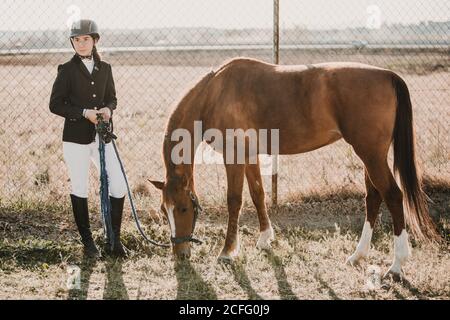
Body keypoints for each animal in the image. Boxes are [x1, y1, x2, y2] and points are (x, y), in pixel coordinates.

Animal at [149, 57, 438, 278]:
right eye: (164, 210)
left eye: (184, 208)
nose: (180, 254)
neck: (215, 93)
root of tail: (388, 75)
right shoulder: (250, 155)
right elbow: (258, 194)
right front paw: (265, 238)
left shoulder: (235, 157)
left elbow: (234, 201)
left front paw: (227, 252)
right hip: (371, 156)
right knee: (374, 197)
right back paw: (358, 255)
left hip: (371, 155)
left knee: (393, 196)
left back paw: (397, 265)